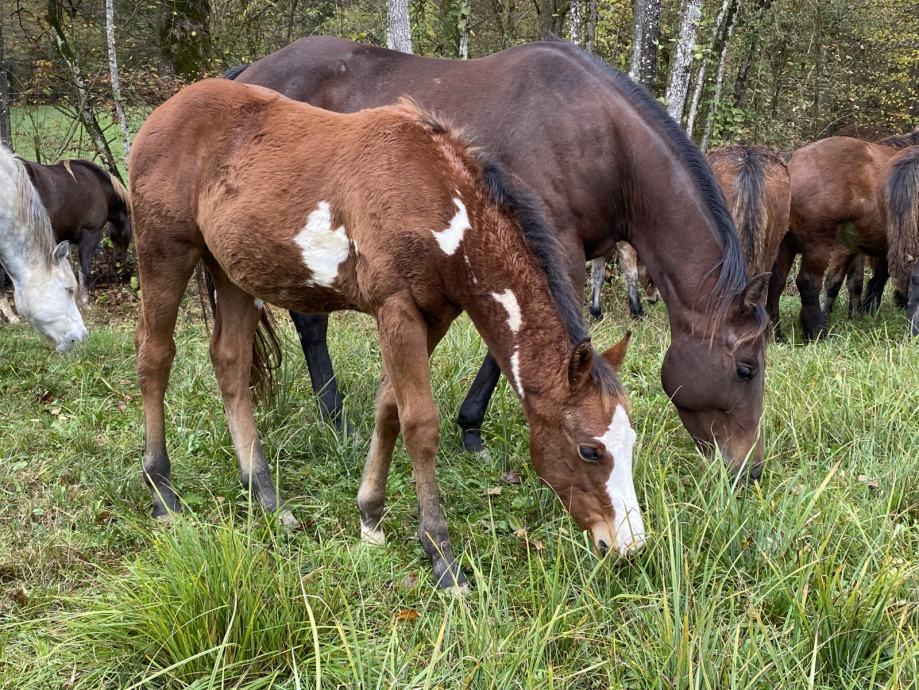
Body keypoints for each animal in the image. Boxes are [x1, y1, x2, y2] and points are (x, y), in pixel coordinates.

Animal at [129, 79, 648, 584]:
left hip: (233, 273)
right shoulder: (396, 309)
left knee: (230, 363)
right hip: (165, 252)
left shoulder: (433, 316)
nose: (628, 546)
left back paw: (268, 500)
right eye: (590, 451)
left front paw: (370, 518)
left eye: (631, 442)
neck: (442, 203)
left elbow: (389, 411)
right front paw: (441, 556)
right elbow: (420, 424)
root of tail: (162, 113)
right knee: (154, 354)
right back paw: (161, 492)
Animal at [234, 35, 772, 476]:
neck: (603, 138)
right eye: (746, 369)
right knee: (311, 324)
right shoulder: (552, 251)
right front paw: (472, 429)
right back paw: (336, 419)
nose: (748, 470)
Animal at [768, 132, 919, 338]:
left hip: (787, 244)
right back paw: (818, 333)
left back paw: (778, 335)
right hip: (818, 244)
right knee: (808, 283)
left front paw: (858, 316)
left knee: (776, 283)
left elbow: (859, 282)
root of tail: (791, 162)